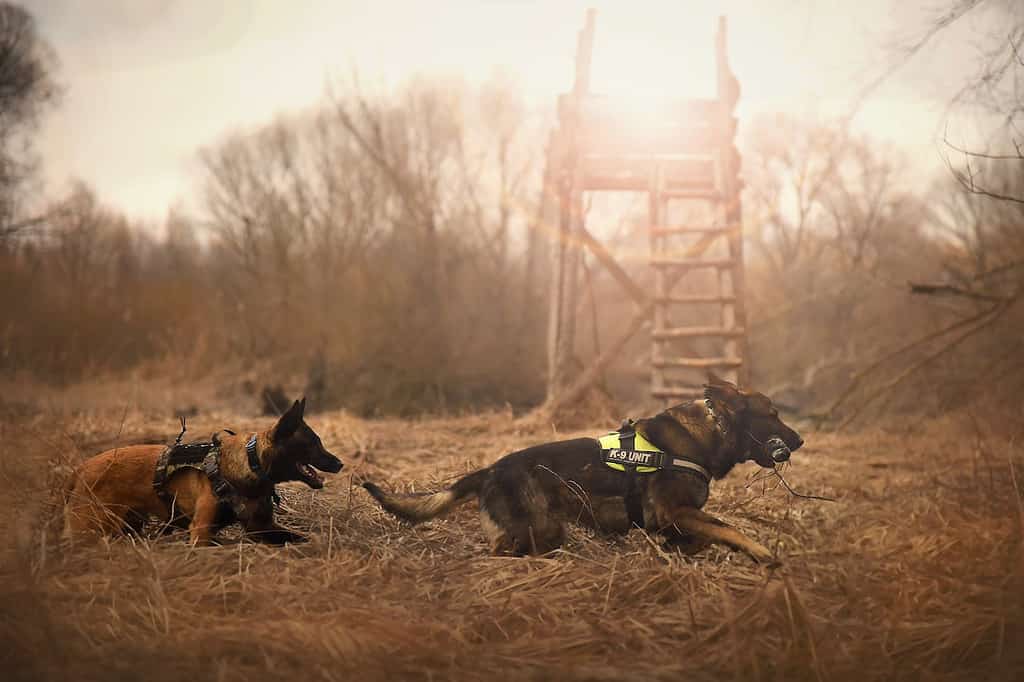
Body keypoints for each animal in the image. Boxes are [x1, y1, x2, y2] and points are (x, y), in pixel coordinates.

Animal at [64, 395, 344, 544]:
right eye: (314, 443)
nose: (339, 463)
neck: (250, 463)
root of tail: (80, 468)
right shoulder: (200, 532)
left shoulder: (262, 527)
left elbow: (301, 537)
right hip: (93, 527)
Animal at [364, 374, 802, 561]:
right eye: (773, 415)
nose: (799, 441)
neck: (709, 433)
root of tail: (490, 470)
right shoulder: (672, 511)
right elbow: (728, 529)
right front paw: (762, 553)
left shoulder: (675, 518)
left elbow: (706, 535)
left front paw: (678, 550)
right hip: (535, 530)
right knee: (501, 550)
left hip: (548, 531)